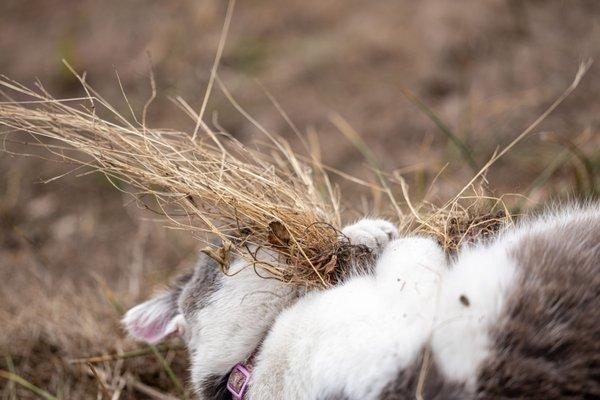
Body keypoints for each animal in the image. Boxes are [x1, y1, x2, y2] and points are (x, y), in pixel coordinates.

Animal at [123, 205, 600, 398]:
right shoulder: (396, 324)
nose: (250, 224)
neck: (252, 363)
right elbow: (413, 254)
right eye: (227, 244)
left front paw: (365, 231)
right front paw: (383, 239)